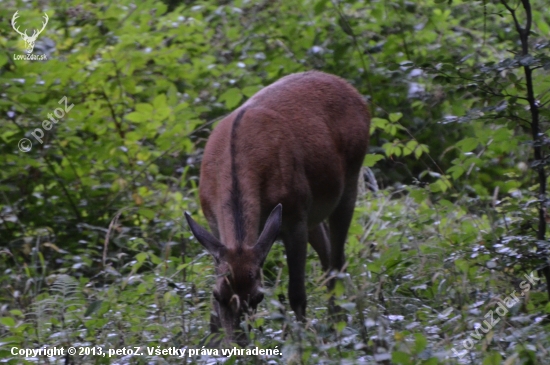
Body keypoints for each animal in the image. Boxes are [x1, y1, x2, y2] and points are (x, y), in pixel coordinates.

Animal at [185, 70, 370, 344]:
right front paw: (213, 343)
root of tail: (355, 93)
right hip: (310, 210)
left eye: (258, 296)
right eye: (219, 295)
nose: (239, 344)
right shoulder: (213, 222)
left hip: (349, 180)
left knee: (337, 260)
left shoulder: (294, 220)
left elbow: (297, 293)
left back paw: (339, 326)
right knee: (327, 253)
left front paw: (304, 343)